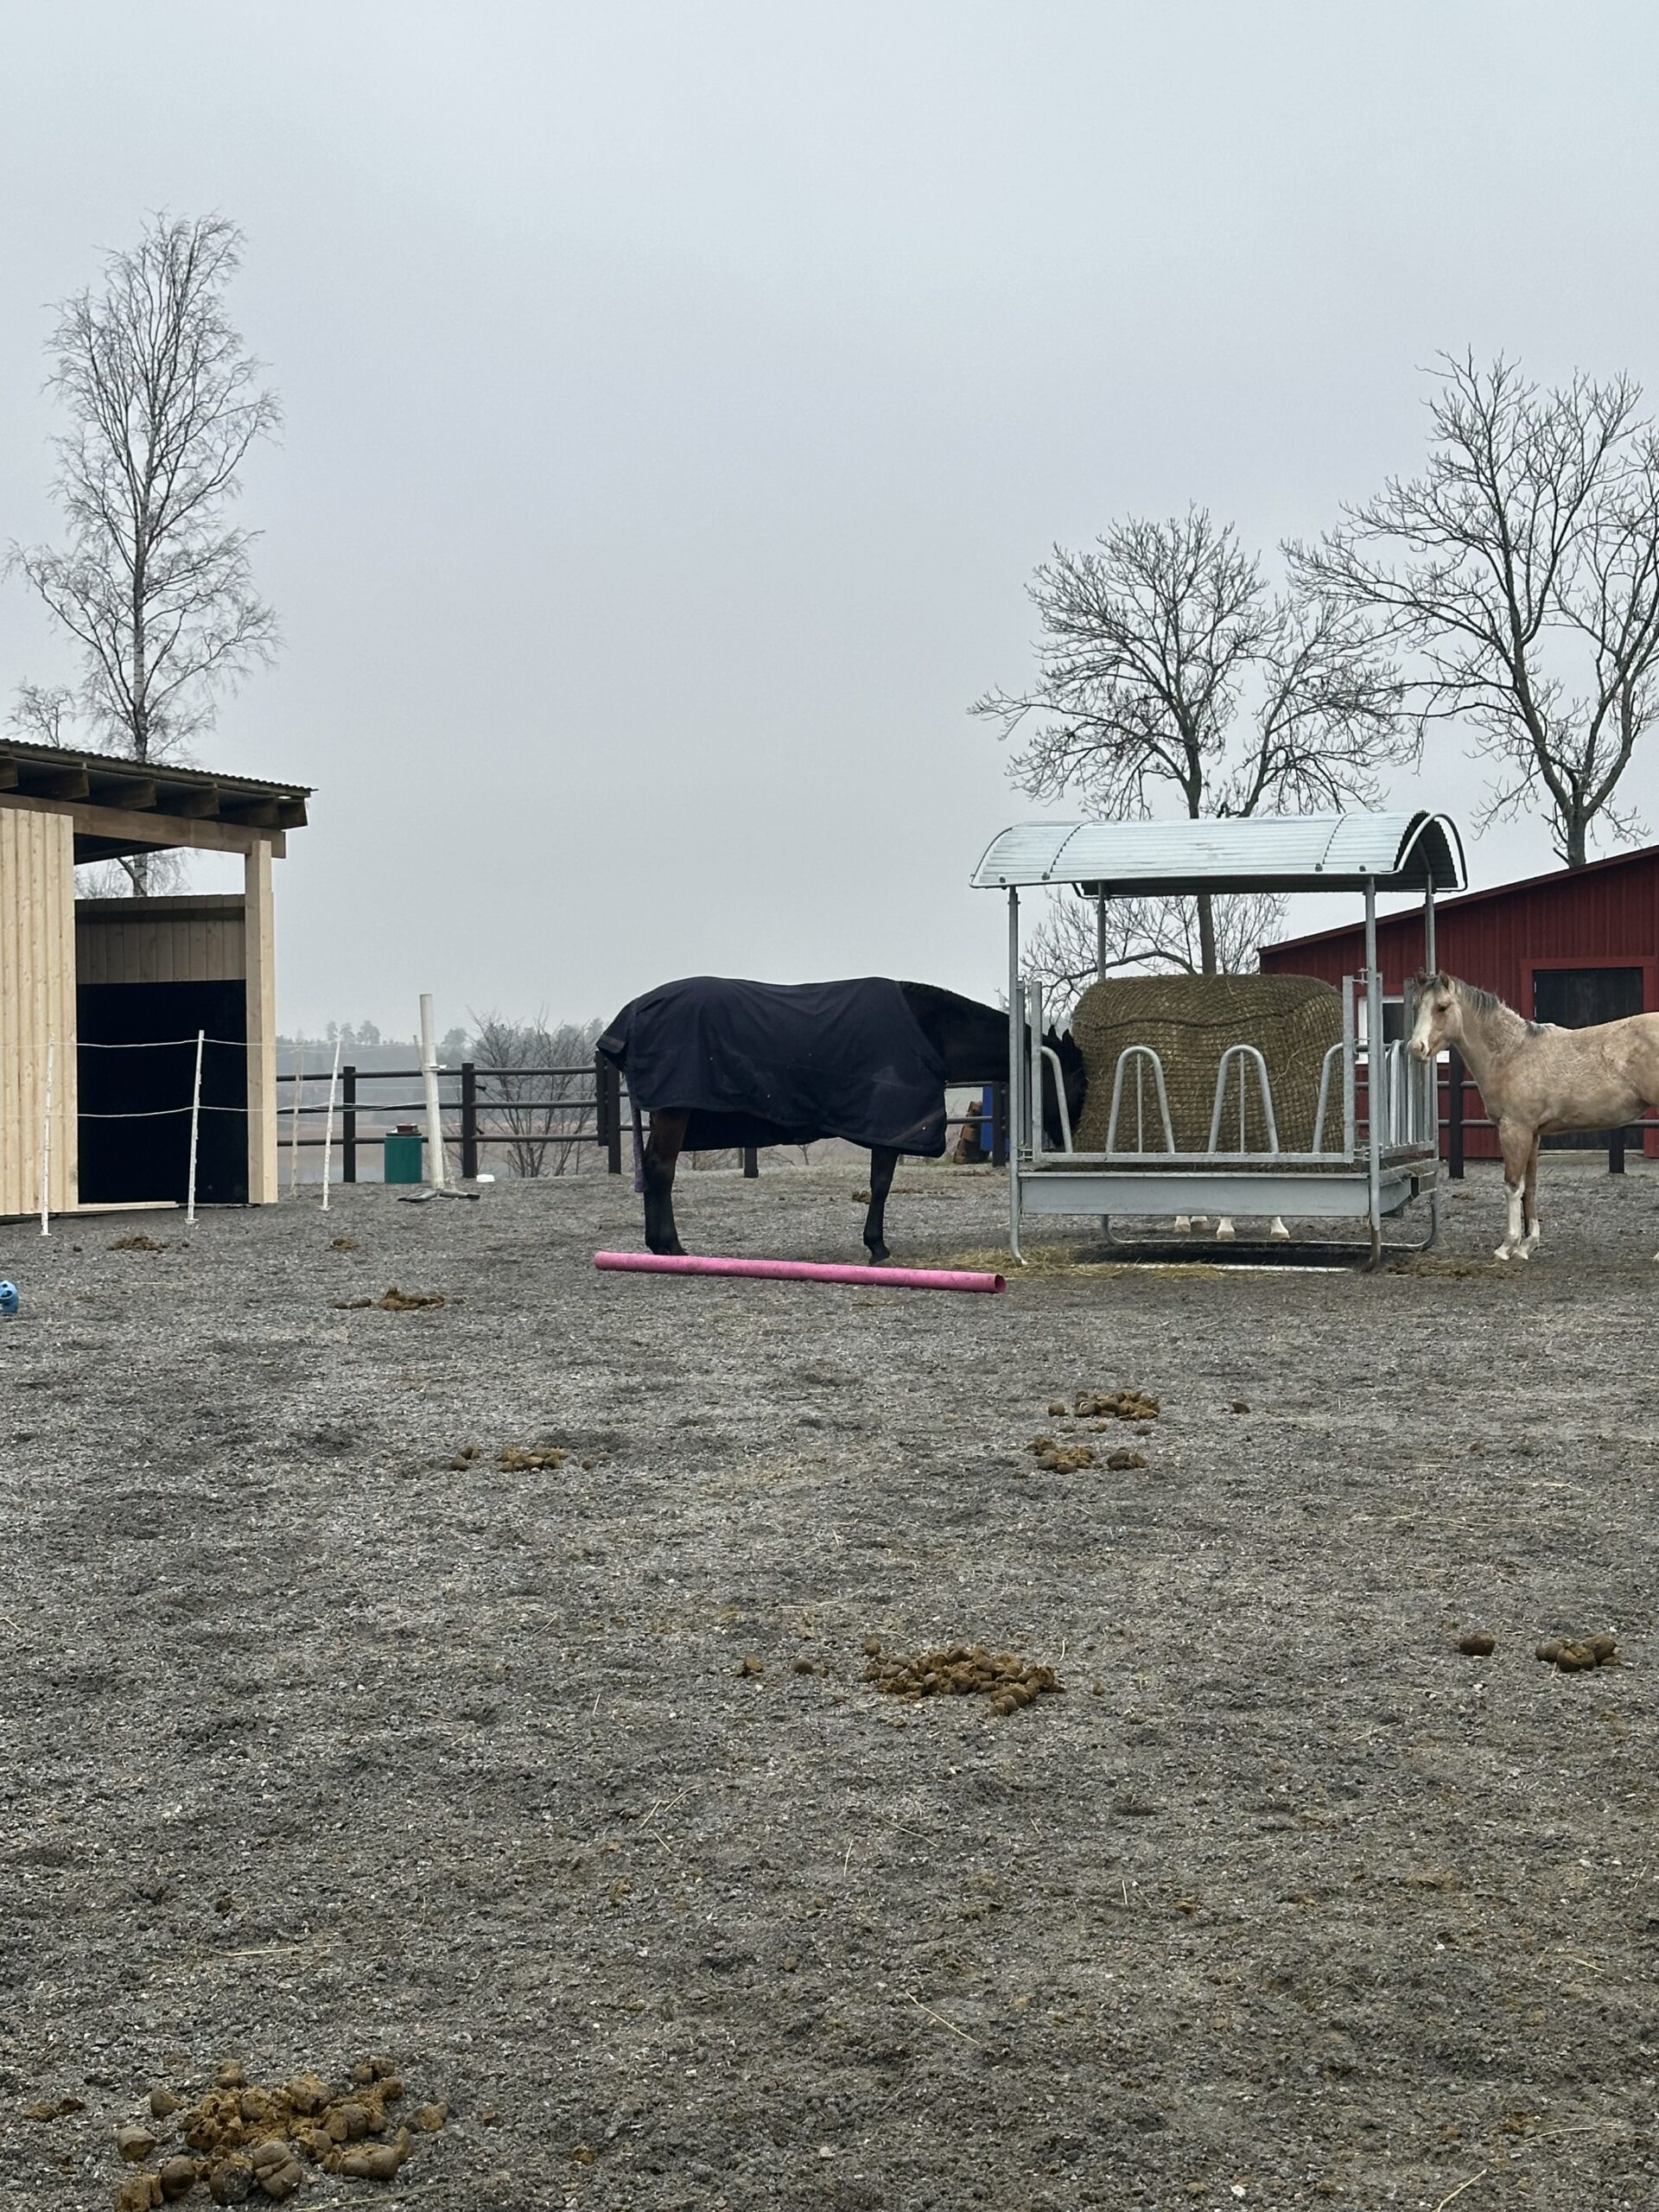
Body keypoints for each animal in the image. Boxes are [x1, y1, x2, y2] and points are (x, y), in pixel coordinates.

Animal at [597, 976, 1085, 1263]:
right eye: (1078, 1079)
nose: (1069, 1137)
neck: (930, 1030)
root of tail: (633, 1015)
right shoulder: (892, 1126)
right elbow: (881, 1184)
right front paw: (877, 1246)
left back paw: (658, 1244)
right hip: (673, 1113)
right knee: (661, 1171)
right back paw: (671, 1245)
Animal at [1407, 971, 1659, 1261]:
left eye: (1442, 1007)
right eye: (1416, 1006)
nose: (1416, 1048)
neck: (1511, 1052)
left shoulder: (1514, 1130)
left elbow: (1512, 1185)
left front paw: (1507, 1246)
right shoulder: (1533, 1134)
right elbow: (1530, 1187)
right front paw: (1527, 1245)